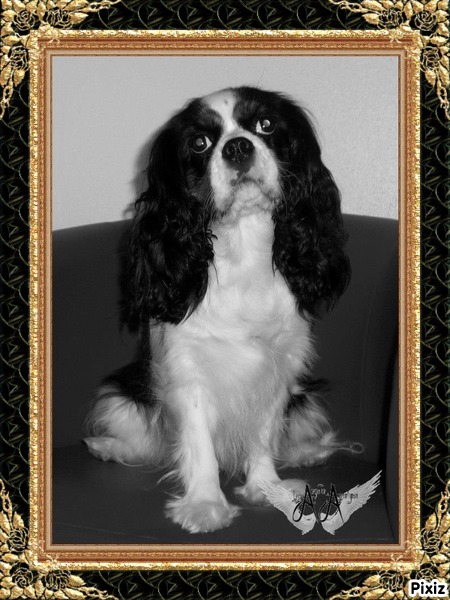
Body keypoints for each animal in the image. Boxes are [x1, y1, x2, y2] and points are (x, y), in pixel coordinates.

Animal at [84, 86, 351, 534]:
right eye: (200, 143)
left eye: (265, 125)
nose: (238, 146)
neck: (242, 243)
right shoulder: (187, 371)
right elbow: (199, 444)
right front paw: (205, 505)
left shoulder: (275, 368)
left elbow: (263, 435)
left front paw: (266, 488)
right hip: (124, 394)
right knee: (143, 442)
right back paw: (108, 447)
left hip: (305, 398)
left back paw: (308, 452)